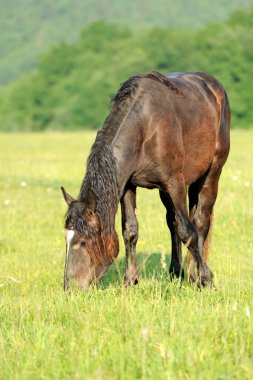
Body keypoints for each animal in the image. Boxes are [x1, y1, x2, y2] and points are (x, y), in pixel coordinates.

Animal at [61, 71, 231, 290]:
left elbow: (188, 232)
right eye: (66, 238)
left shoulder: (175, 184)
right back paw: (177, 273)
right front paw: (130, 280)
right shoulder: (127, 185)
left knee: (200, 222)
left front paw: (207, 278)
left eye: (83, 241)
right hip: (165, 191)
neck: (146, 127)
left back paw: (197, 276)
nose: (70, 287)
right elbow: (130, 230)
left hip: (211, 173)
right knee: (172, 222)